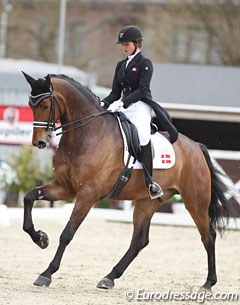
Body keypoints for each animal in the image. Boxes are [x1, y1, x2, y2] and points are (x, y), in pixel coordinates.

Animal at [22, 71, 231, 290]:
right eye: (30, 105)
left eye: (45, 106)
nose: (39, 142)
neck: (86, 134)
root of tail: (196, 147)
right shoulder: (65, 188)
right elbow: (29, 197)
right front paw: (41, 238)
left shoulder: (88, 194)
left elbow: (67, 233)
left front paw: (47, 273)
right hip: (147, 202)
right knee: (139, 241)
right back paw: (109, 277)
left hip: (195, 201)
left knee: (208, 235)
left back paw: (208, 283)